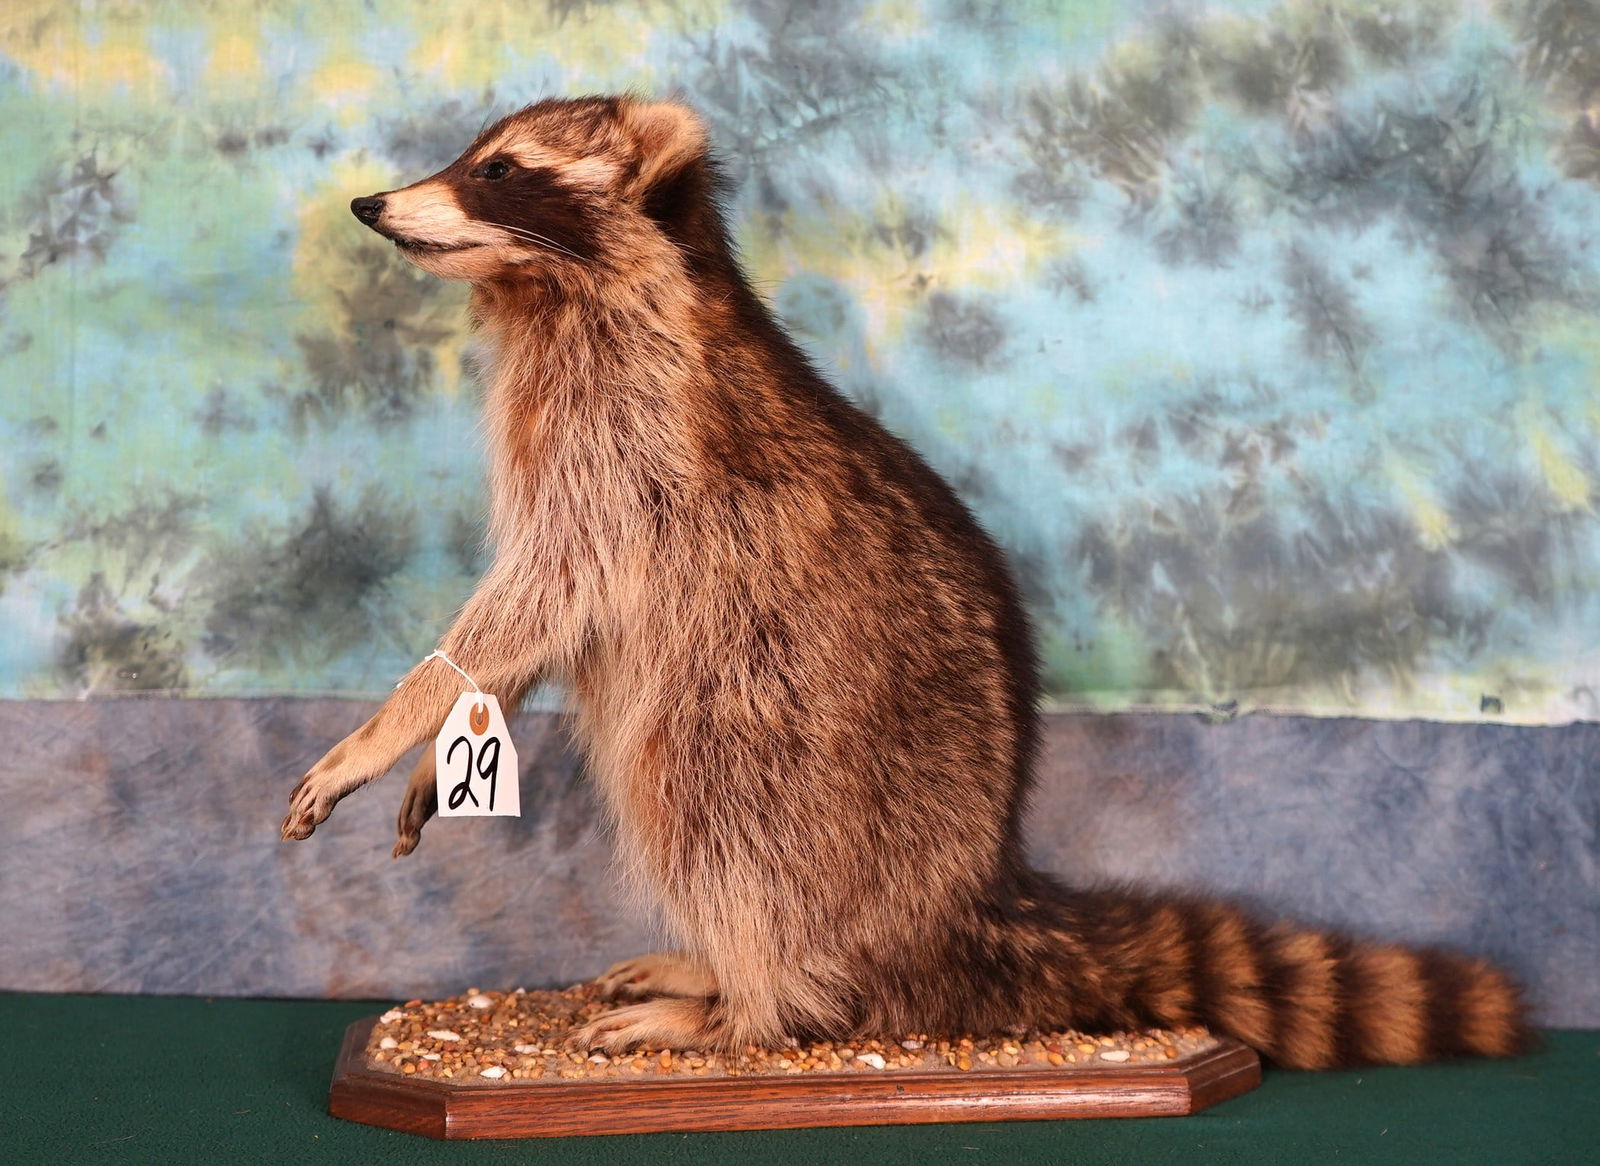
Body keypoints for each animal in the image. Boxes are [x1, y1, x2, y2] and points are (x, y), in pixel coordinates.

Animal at [282, 95, 1528, 1068]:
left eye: (498, 171)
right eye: (470, 155)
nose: (370, 205)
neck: (552, 293)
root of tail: (969, 895)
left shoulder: (634, 443)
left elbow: (543, 590)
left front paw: (390, 722)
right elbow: (536, 622)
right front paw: (441, 739)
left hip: (804, 738)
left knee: (707, 794)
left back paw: (750, 1000)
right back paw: (714, 971)